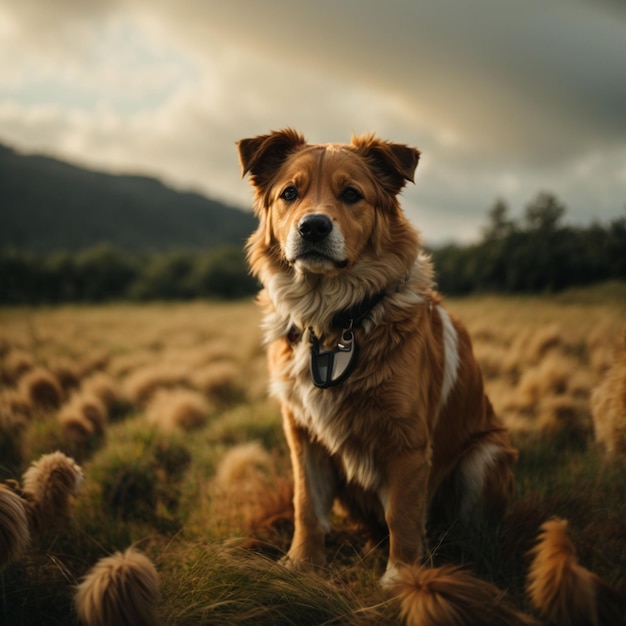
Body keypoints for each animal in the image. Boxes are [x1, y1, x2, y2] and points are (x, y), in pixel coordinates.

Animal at [236, 129, 516, 584]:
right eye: (289, 193)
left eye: (352, 194)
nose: (313, 227)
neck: (332, 323)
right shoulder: (303, 434)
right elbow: (306, 505)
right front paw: (301, 565)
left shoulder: (408, 444)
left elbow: (402, 516)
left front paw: (404, 582)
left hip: (485, 456)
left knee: (472, 533)